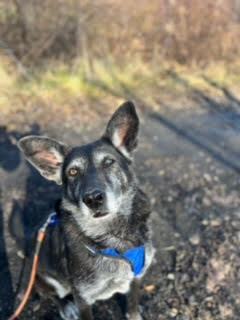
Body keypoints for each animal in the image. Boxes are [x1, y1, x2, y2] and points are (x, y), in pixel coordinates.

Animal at [13, 102, 155, 320]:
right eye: (73, 172)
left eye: (108, 162)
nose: (93, 199)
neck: (113, 236)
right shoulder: (83, 297)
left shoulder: (137, 277)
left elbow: (132, 305)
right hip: (47, 277)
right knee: (48, 292)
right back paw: (65, 306)